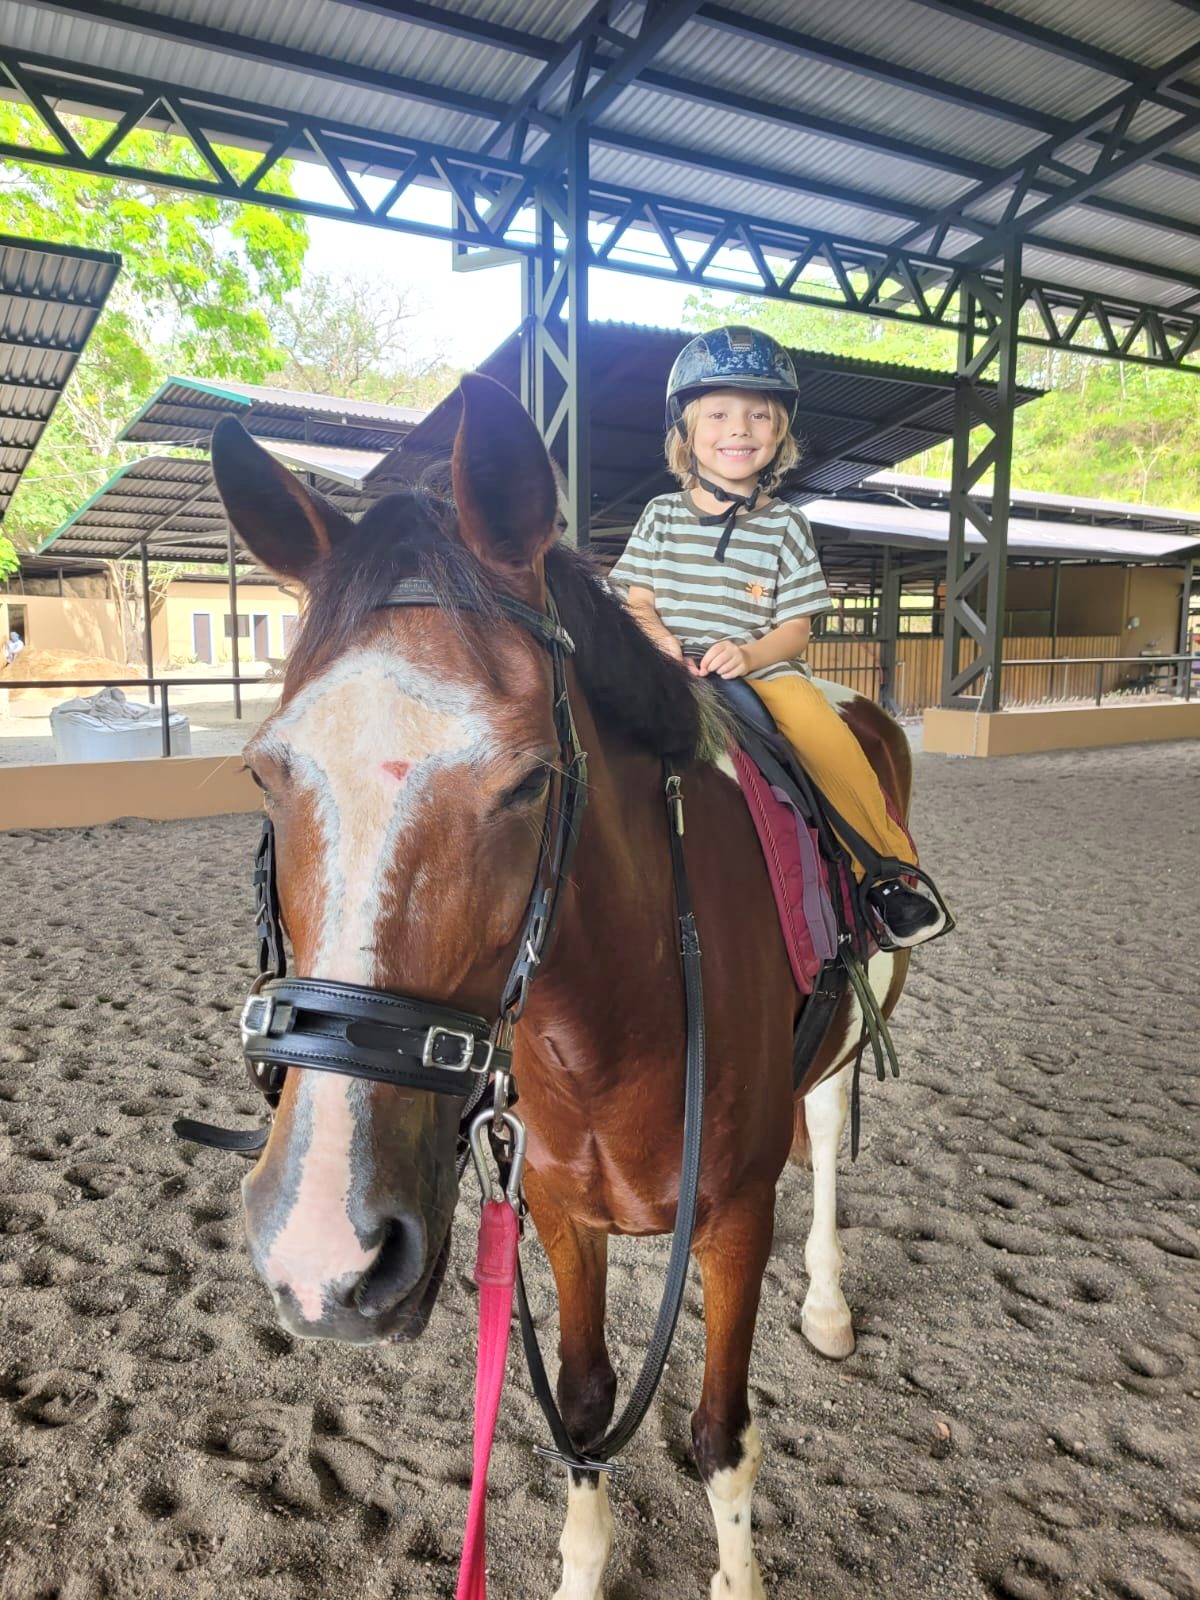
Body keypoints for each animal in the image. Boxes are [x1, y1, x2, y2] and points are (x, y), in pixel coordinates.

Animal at [210, 374, 912, 1600]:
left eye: (530, 781)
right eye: (265, 770)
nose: (323, 1251)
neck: (613, 1021)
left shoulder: (736, 1218)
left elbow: (720, 1435)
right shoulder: (558, 1210)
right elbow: (584, 1412)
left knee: (825, 1127)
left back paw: (826, 1302)